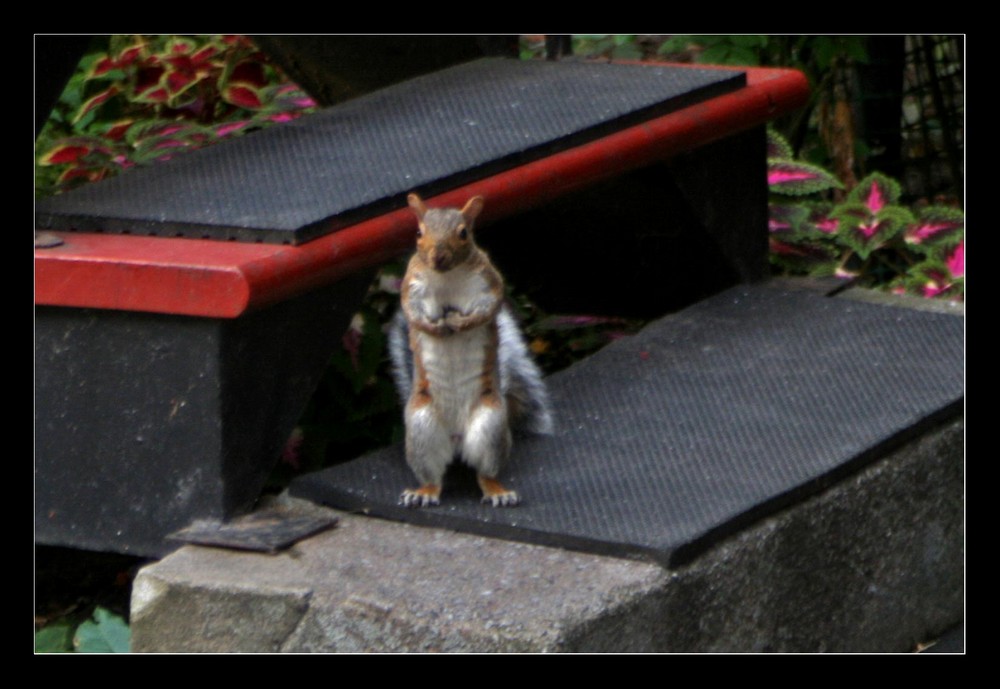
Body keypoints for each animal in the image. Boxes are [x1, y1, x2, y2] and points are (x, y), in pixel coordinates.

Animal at [388, 192, 556, 506]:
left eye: (464, 233)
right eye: (418, 233)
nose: (438, 257)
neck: (446, 277)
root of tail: (456, 440)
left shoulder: (489, 283)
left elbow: (486, 309)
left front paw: (460, 322)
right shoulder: (411, 287)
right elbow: (413, 314)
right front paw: (435, 328)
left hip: (490, 428)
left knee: (485, 472)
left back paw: (497, 492)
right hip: (421, 430)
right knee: (433, 477)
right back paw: (423, 492)